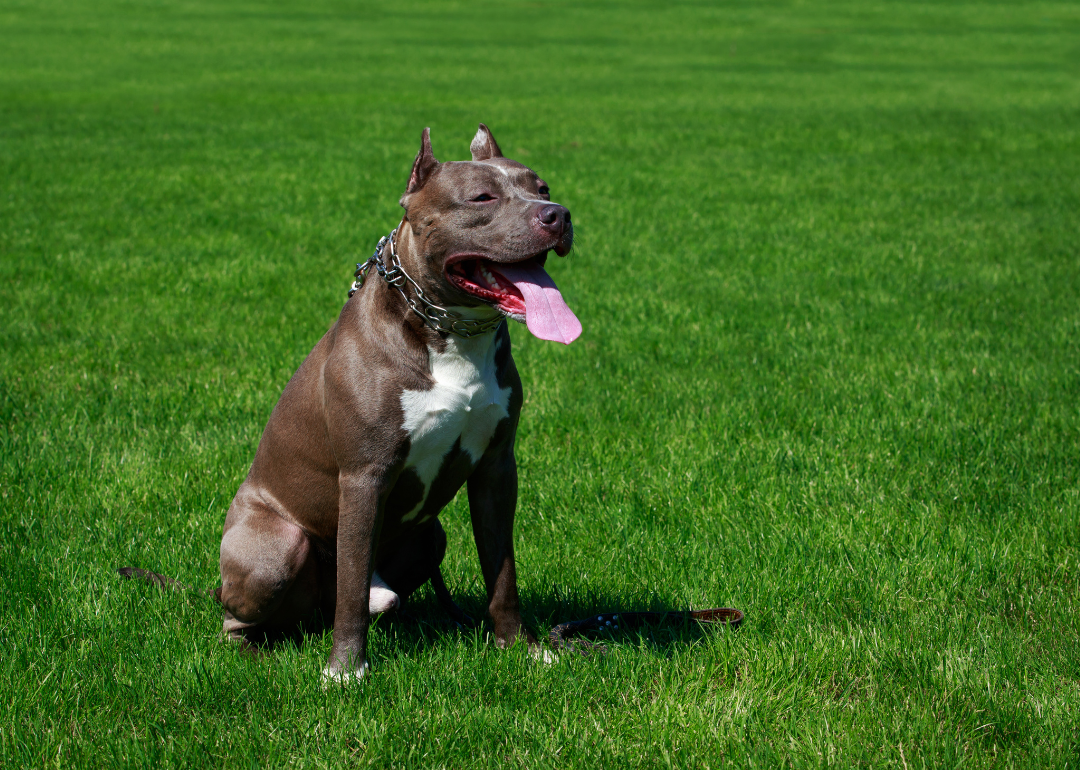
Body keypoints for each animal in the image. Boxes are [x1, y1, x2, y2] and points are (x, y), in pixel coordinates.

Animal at [213, 123, 578, 682]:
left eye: (542, 188)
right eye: (482, 197)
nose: (557, 214)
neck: (453, 333)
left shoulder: (496, 469)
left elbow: (502, 572)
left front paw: (520, 647)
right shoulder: (366, 474)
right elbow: (351, 589)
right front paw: (345, 670)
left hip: (431, 536)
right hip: (275, 548)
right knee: (252, 616)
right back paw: (255, 651)